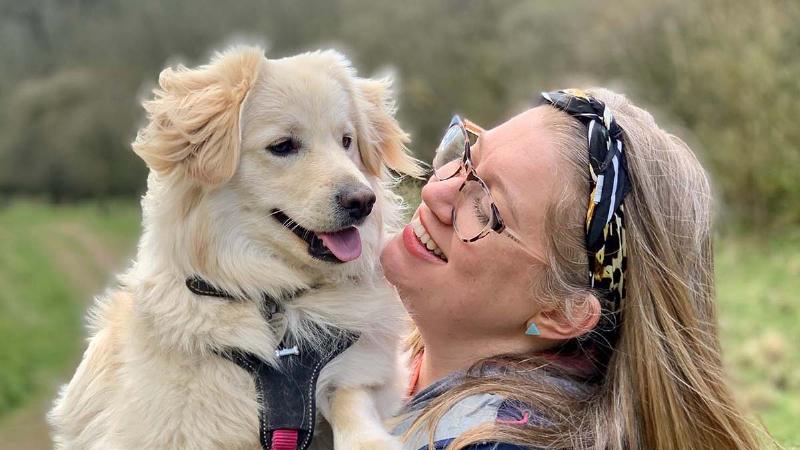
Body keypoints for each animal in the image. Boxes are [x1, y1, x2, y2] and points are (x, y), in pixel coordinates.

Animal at [47, 46, 422, 450]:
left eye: (347, 141)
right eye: (283, 146)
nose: (363, 202)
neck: (272, 296)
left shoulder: (358, 369)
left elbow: (352, 396)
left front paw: (368, 439)